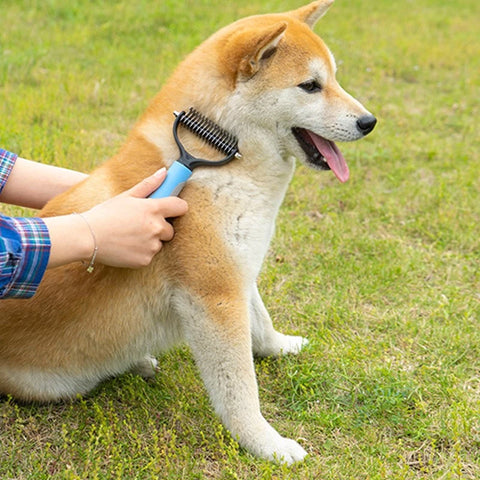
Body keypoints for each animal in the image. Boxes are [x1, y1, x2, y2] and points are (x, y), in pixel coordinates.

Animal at [0, 0, 376, 464]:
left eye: (335, 78)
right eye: (310, 86)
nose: (369, 121)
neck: (221, 156)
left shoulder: (238, 269)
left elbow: (261, 323)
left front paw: (279, 345)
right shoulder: (214, 295)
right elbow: (240, 390)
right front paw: (266, 443)